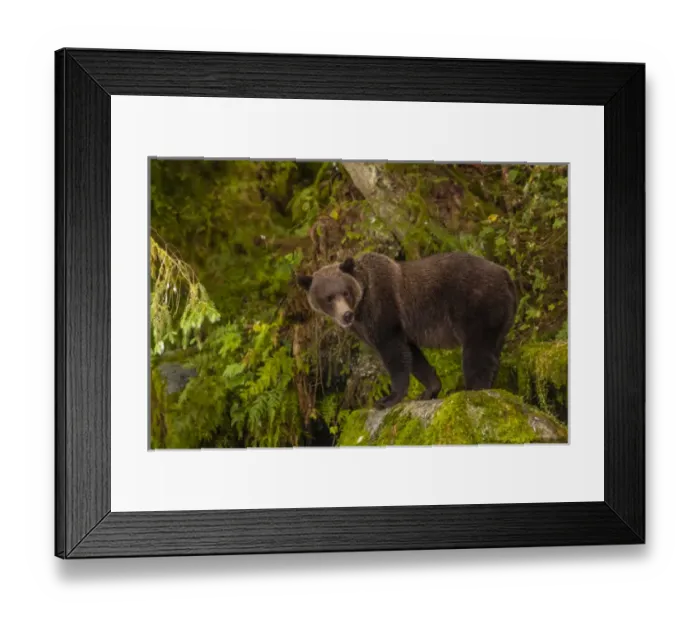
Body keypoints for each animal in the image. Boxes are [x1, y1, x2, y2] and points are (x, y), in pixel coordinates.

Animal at [296, 251, 517, 410]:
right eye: (329, 297)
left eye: (345, 292)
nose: (346, 315)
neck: (362, 305)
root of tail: (505, 274)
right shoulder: (396, 329)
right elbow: (414, 356)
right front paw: (428, 391)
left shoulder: (384, 311)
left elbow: (394, 354)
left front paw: (387, 399)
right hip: (501, 317)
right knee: (492, 349)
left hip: (476, 305)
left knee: (476, 351)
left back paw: (474, 390)